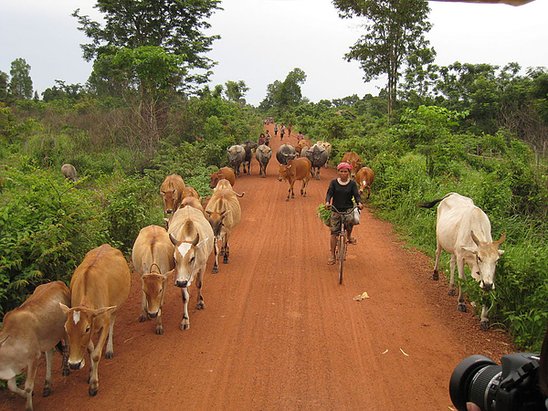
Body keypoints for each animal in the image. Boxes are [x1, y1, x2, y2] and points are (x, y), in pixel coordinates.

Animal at [60, 246, 132, 398]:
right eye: (66, 329)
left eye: (86, 329)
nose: (74, 364)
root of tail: (106, 246)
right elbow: (90, 349)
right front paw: (90, 373)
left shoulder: (103, 321)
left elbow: (96, 355)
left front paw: (94, 384)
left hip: (115, 306)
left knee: (112, 322)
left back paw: (109, 349)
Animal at [422, 193, 508, 332]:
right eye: (479, 257)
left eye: (497, 260)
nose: (488, 285)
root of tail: (452, 194)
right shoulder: (461, 256)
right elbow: (462, 279)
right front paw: (461, 303)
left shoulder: (485, 276)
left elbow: (483, 288)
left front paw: (484, 318)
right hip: (439, 238)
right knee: (438, 253)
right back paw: (435, 274)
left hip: (453, 248)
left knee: (451, 263)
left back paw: (451, 288)